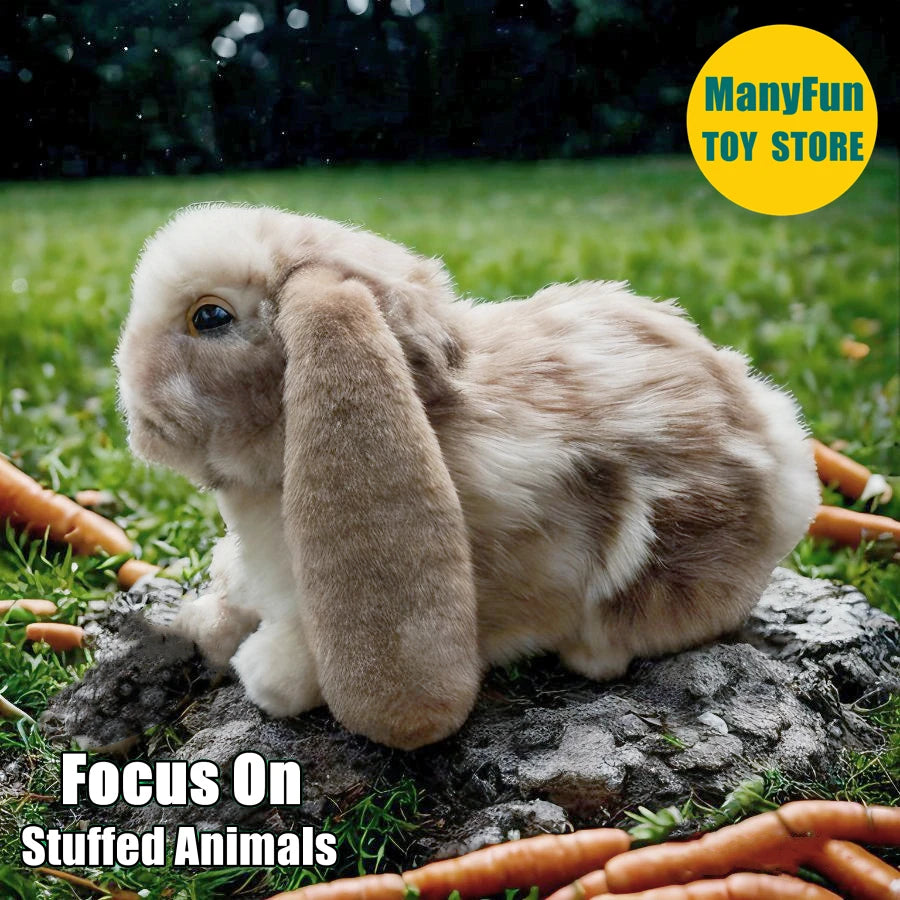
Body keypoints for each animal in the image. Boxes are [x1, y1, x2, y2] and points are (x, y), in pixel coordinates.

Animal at [115, 202, 821, 750]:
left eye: (210, 317)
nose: (136, 416)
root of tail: (785, 449)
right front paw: (193, 619)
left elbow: (287, 668)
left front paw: (262, 670)